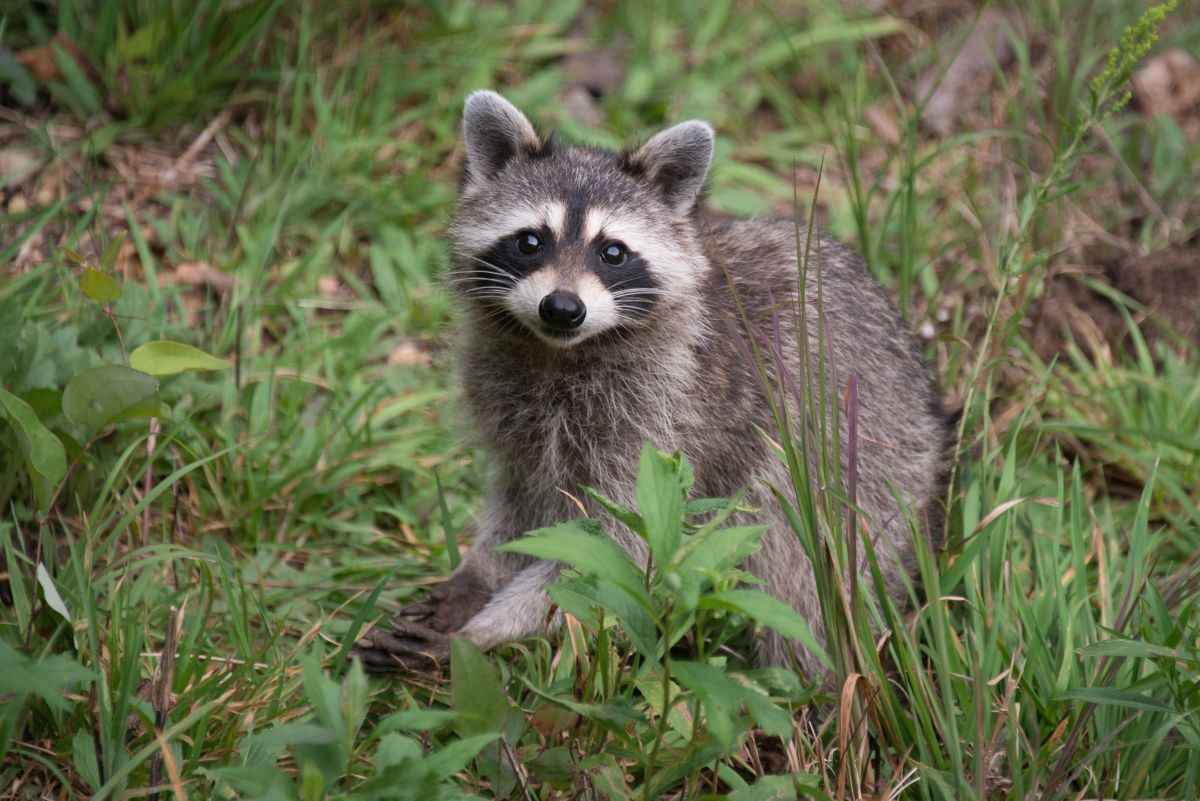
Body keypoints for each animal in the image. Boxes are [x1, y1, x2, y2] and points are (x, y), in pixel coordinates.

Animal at [350, 89, 950, 681]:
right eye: (529, 242)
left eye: (612, 252)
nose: (562, 308)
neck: (561, 353)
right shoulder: (514, 410)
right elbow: (522, 504)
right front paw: (479, 576)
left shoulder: (662, 425)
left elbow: (615, 556)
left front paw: (482, 633)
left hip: (865, 471)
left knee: (800, 577)